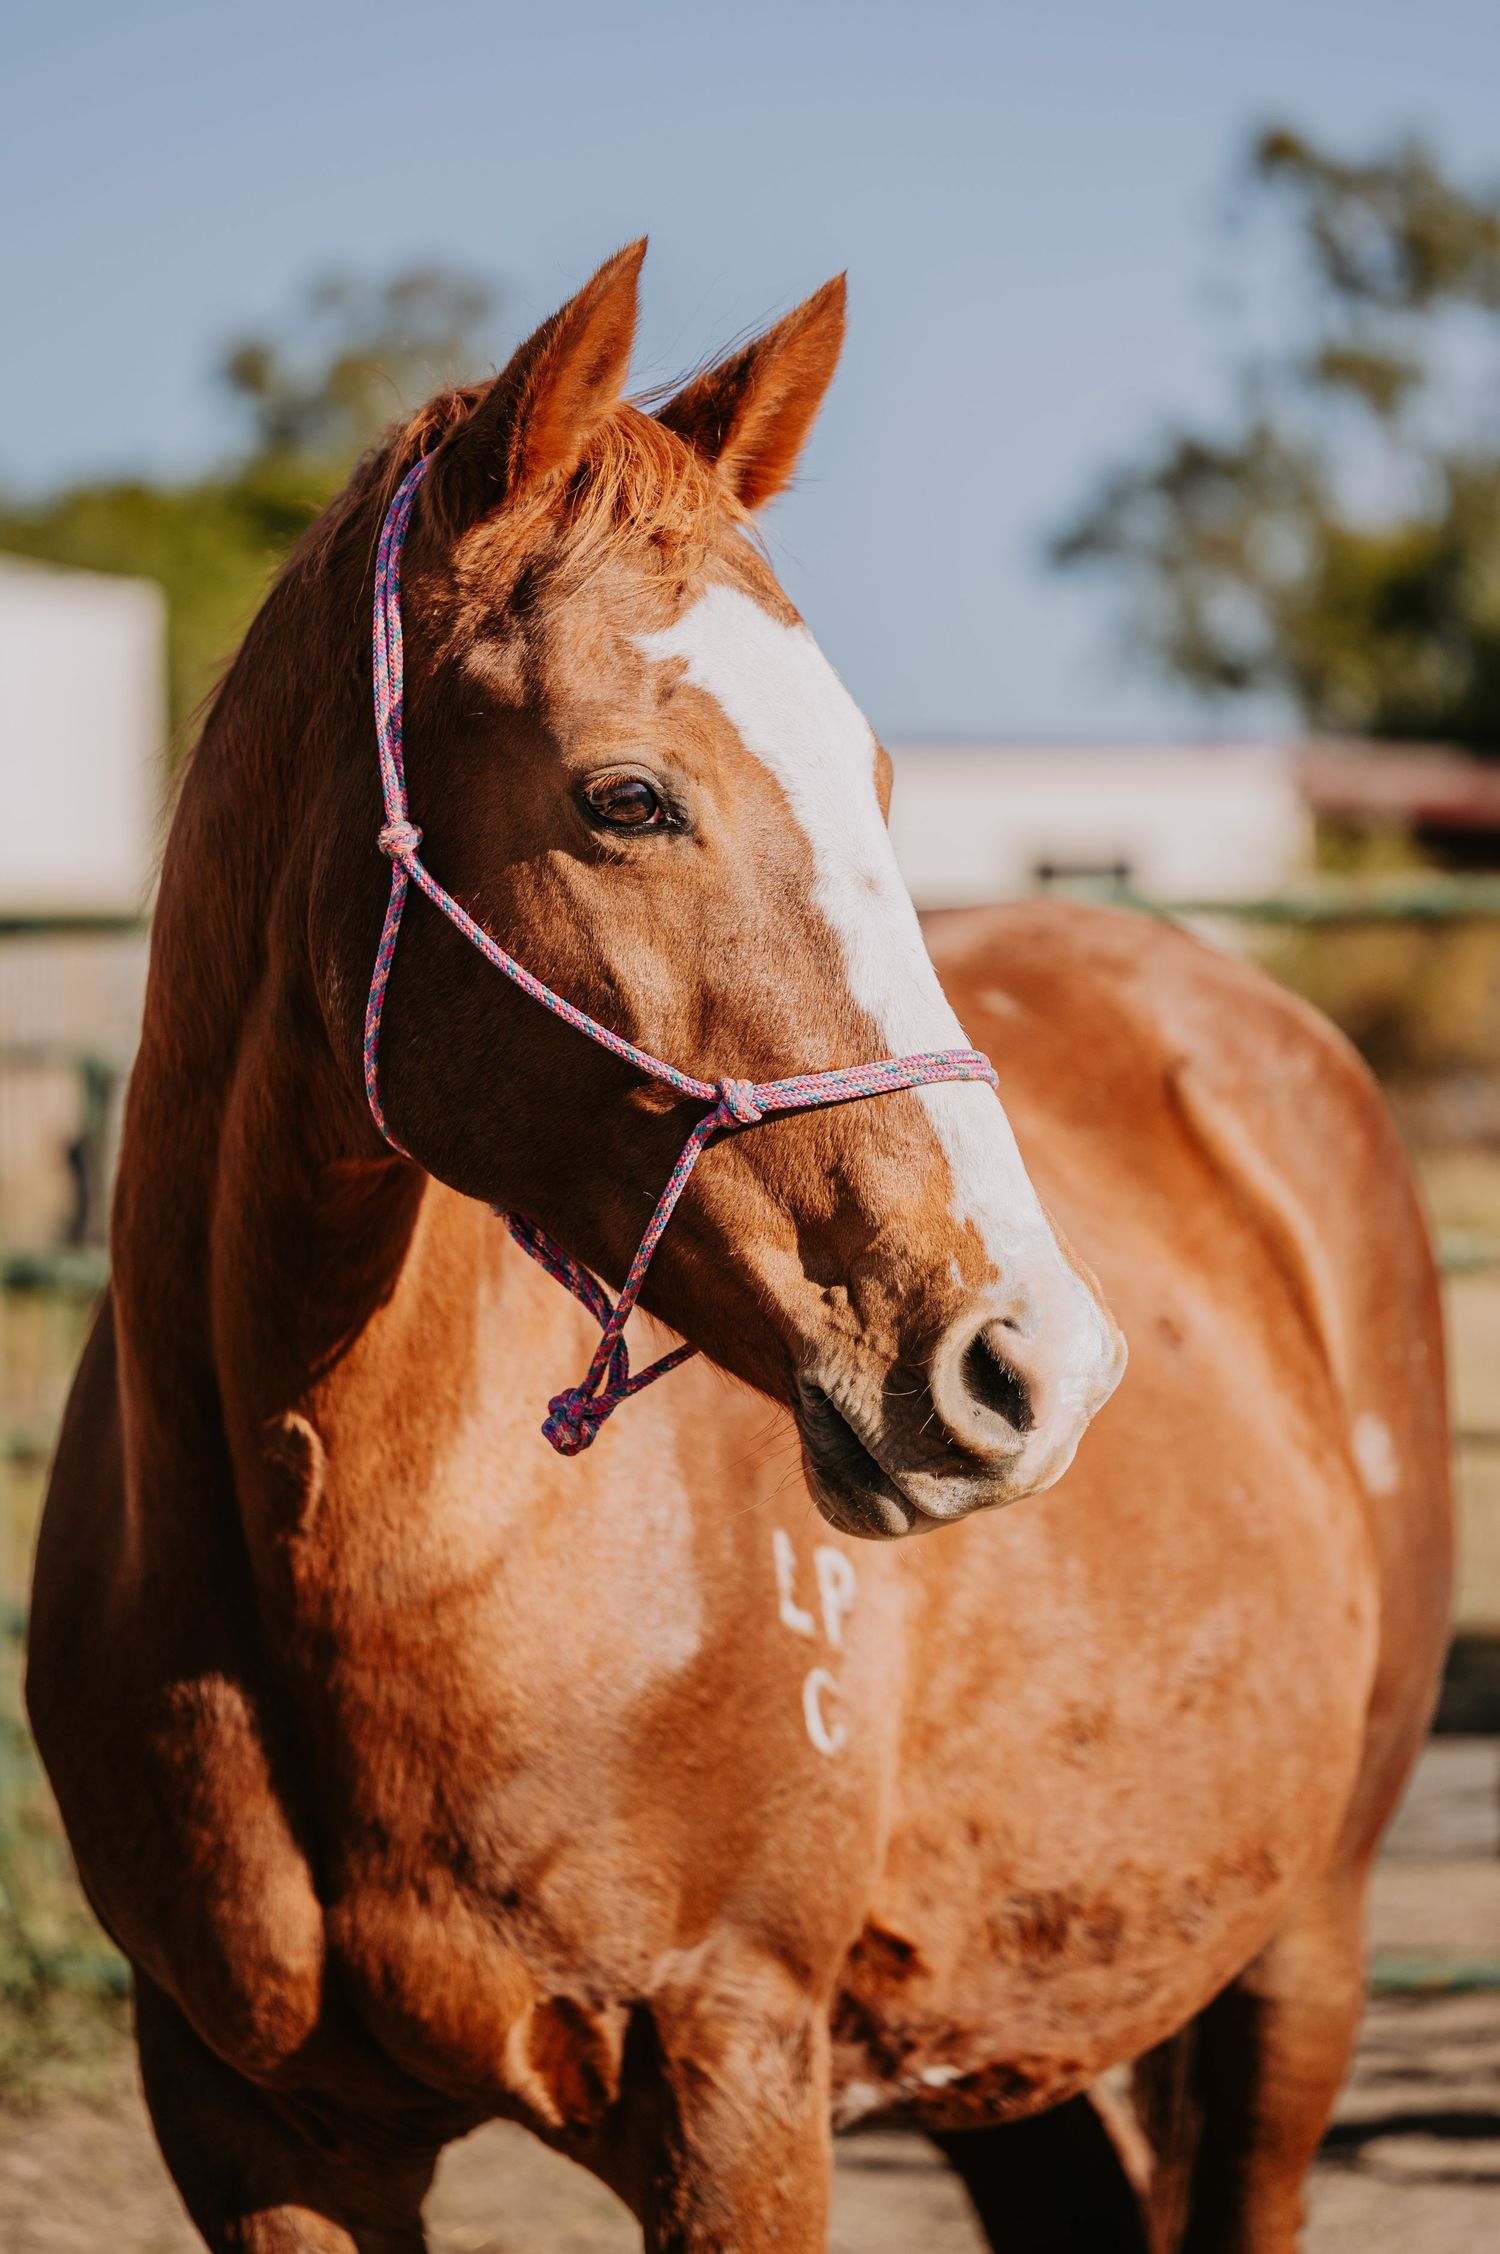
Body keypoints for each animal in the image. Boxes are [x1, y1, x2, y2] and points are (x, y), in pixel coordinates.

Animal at [27, 242, 1451, 2253]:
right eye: (627, 796)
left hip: (1298, 1957)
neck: (357, 1539)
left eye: (874, 776)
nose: (1033, 1362)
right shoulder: (254, 2130)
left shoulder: (736, 2081)